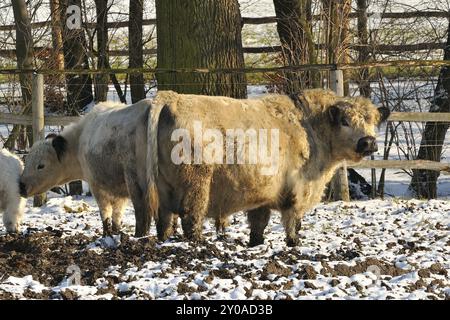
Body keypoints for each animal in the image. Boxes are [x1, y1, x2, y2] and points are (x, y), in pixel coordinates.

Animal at [19, 100, 155, 238]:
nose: (21, 186)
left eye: (41, 165)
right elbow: (116, 216)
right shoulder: (118, 190)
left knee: (142, 213)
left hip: (136, 182)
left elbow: (105, 214)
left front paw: (106, 235)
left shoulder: (97, 186)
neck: (79, 141)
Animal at [149, 89, 390, 246]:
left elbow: (258, 226)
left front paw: (256, 244)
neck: (310, 128)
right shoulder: (298, 191)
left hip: (165, 189)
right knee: (191, 218)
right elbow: (293, 223)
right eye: (345, 121)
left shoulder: (261, 196)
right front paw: (294, 243)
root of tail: (173, 97)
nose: (368, 142)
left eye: (372, 121)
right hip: (196, 183)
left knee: (164, 222)